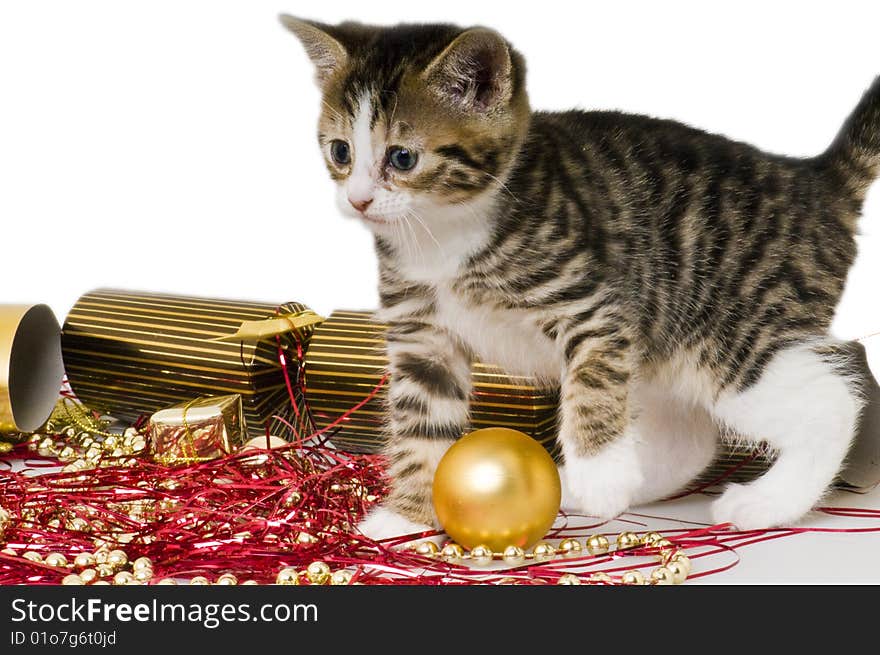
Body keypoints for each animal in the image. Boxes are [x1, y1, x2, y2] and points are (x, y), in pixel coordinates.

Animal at [284, 15, 880, 536]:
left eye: (402, 158)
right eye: (340, 152)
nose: (358, 199)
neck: (444, 232)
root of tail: (814, 180)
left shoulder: (595, 307)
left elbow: (590, 385)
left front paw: (600, 475)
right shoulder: (421, 337)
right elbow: (422, 422)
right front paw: (408, 517)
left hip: (729, 333)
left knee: (833, 402)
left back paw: (766, 501)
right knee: (690, 438)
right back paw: (598, 483)